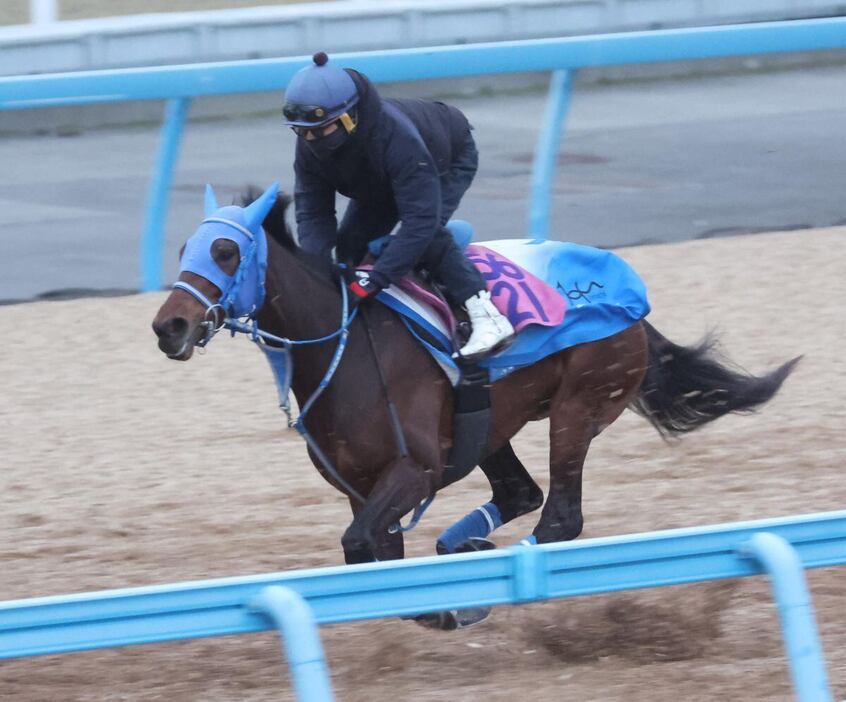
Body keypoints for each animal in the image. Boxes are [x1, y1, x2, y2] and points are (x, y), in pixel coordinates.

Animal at [154, 183, 800, 620]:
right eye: (185, 247)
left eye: (225, 251)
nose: (169, 327)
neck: (343, 346)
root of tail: (634, 302)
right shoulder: (365, 488)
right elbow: (372, 553)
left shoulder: (414, 471)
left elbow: (361, 544)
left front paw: (447, 608)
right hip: (490, 424)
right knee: (520, 493)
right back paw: (463, 545)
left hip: (577, 406)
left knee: (559, 514)